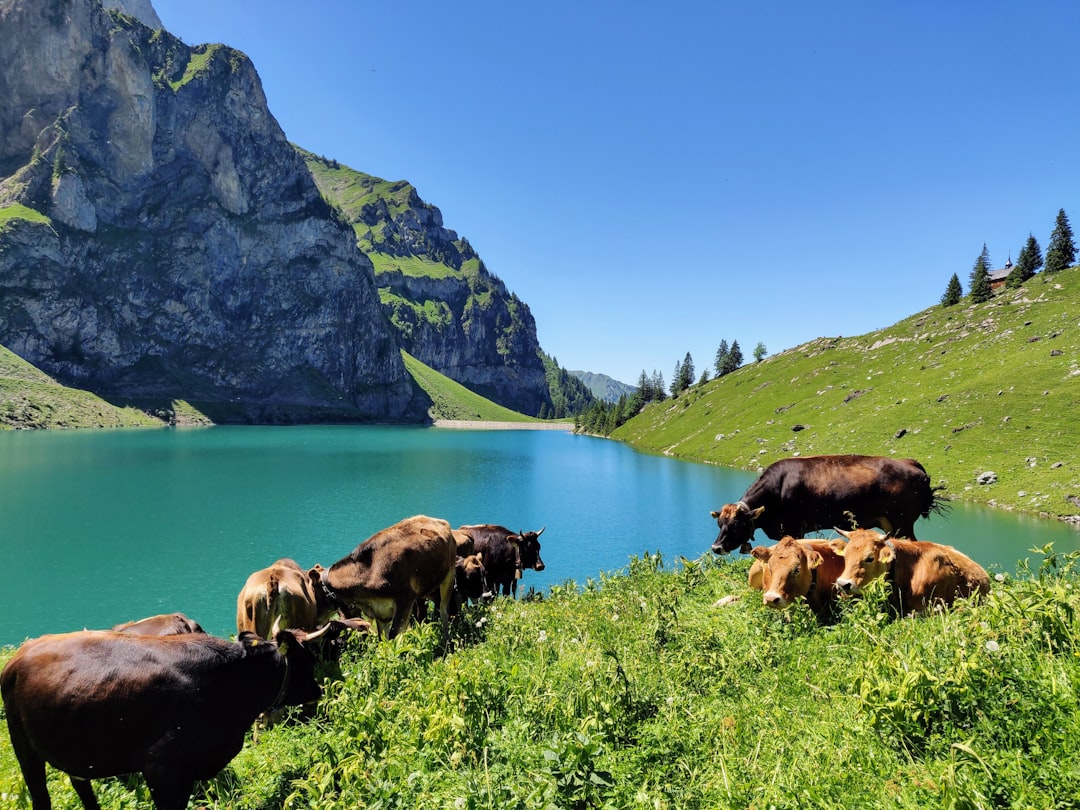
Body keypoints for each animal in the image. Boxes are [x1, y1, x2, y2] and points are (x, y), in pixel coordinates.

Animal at [1, 628, 321, 810]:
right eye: (307, 659)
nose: (318, 690)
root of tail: (20, 655)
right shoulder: (160, 767)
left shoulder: (189, 769)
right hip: (23, 746)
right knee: (41, 796)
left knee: (82, 786)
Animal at [321, 515, 457, 640]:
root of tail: (433, 518)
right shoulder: (380, 612)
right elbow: (383, 639)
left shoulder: (404, 600)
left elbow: (394, 636)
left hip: (449, 574)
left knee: (444, 610)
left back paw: (446, 640)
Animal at [711, 455, 946, 554]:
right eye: (720, 523)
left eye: (736, 524)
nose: (716, 547)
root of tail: (909, 463)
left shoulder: (795, 528)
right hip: (890, 524)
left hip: (903, 522)